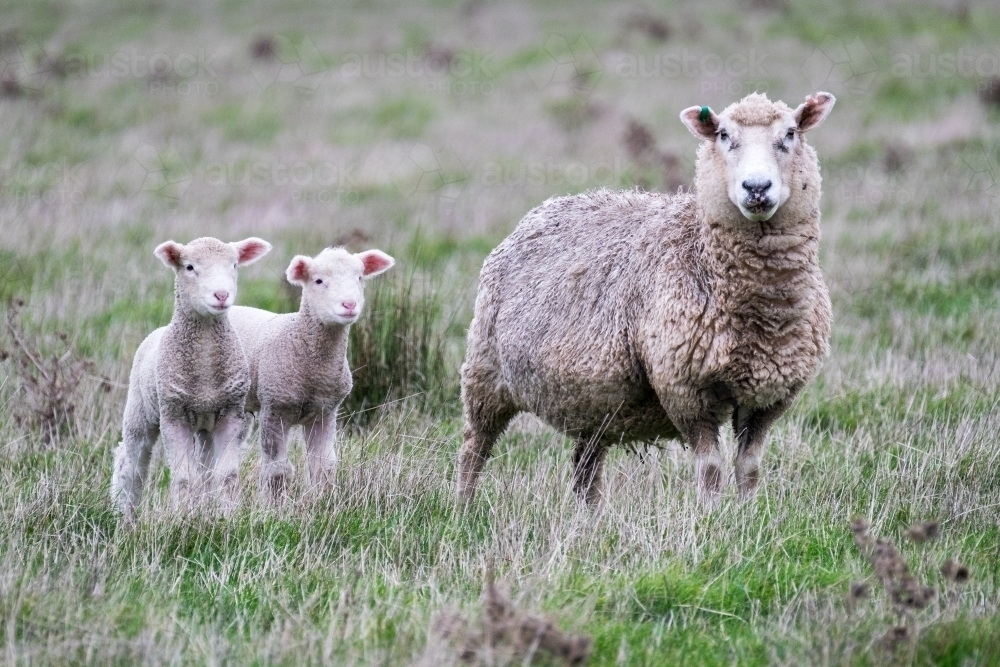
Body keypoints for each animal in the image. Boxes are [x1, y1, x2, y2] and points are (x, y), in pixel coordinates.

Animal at [110, 237, 270, 524]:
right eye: (190, 267)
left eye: (234, 265)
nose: (221, 295)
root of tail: (157, 332)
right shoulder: (173, 416)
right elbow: (184, 478)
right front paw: (182, 518)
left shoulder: (231, 414)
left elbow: (225, 476)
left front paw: (226, 517)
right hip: (140, 410)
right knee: (131, 463)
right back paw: (124, 517)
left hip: (206, 425)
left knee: (205, 469)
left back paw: (204, 510)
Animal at [229, 245, 396, 496]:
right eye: (318, 281)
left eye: (359, 278)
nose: (349, 305)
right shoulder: (274, 408)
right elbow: (277, 469)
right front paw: (273, 503)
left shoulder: (324, 412)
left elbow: (323, 465)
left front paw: (322, 500)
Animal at [458, 91, 836, 504]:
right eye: (723, 135)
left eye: (790, 133)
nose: (756, 187)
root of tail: (546, 208)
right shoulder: (683, 388)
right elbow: (710, 471)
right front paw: (711, 515)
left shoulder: (771, 395)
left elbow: (748, 468)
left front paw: (748, 513)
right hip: (485, 371)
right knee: (474, 447)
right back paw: (463, 507)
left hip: (594, 401)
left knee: (586, 467)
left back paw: (588, 517)